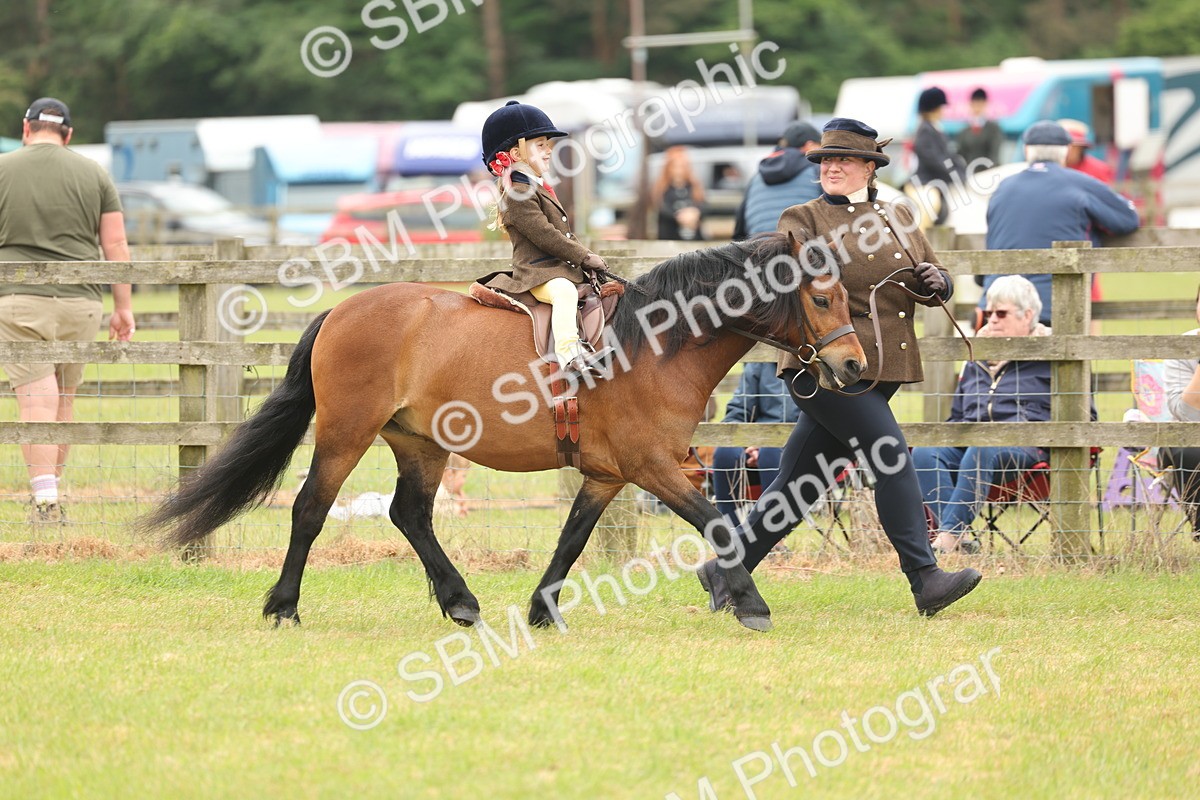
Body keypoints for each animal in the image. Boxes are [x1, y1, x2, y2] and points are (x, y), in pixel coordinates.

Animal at [144, 232, 867, 632]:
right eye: (822, 298)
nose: (856, 366)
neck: (657, 344)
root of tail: (341, 310)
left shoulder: (607, 475)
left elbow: (572, 539)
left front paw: (543, 611)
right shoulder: (653, 467)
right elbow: (718, 524)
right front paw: (749, 604)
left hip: (420, 443)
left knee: (410, 515)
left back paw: (460, 602)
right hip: (348, 435)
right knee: (310, 509)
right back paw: (285, 608)